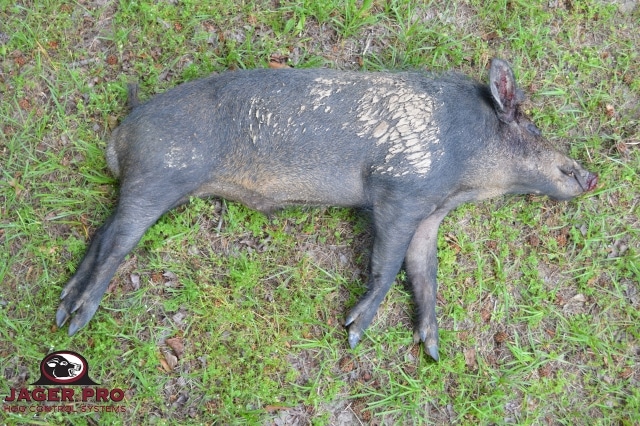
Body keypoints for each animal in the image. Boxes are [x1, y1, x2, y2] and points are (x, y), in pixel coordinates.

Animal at [56, 59, 597, 360]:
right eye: (528, 124)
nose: (590, 175)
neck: (462, 178)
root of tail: (122, 131)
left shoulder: (429, 215)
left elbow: (425, 273)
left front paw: (432, 350)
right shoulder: (399, 192)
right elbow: (386, 264)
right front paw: (353, 334)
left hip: (143, 185)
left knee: (99, 234)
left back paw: (61, 310)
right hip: (158, 177)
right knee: (115, 244)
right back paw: (76, 321)